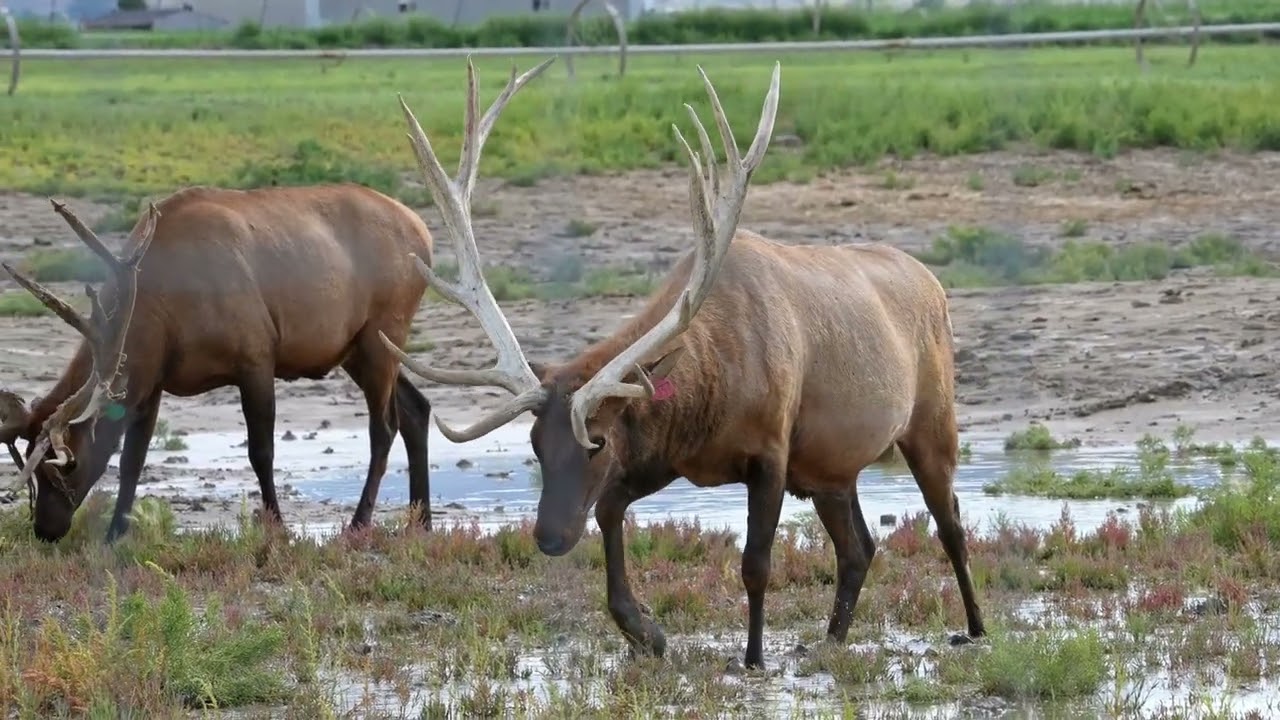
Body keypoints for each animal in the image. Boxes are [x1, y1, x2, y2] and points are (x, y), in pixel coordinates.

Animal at [0, 183, 438, 544]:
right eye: (31, 467)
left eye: (65, 466)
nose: (45, 529)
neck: (162, 317)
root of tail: (425, 232)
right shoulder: (153, 379)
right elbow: (131, 460)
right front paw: (114, 535)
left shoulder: (257, 355)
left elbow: (261, 451)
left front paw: (278, 529)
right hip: (358, 349)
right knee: (417, 408)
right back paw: (422, 522)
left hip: (384, 330)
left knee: (384, 427)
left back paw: (359, 524)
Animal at [377, 57, 986, 670]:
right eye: (535, 444)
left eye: (595, 442)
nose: (548, 536)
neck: (712, 391)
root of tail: (932, 281)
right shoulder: (667, 454)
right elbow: (609, 513)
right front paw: (646, 630)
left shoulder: (771, 452)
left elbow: (755, 562)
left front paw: (753, 657)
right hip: (832, 469)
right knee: (859, 546)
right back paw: (831, 638)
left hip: (931, 422)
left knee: (951, 525)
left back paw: (975, 627)